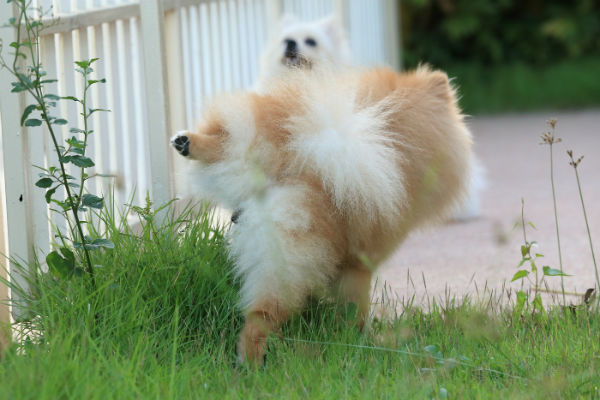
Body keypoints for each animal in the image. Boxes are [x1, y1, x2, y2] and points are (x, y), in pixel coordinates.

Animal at [169, 65, 474, 366]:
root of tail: (282, 163)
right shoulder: (358, 264)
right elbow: (355, 306)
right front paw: (360, 337)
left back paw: (188, 142)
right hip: (287, 261)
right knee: (262, 318)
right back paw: (252, 363)